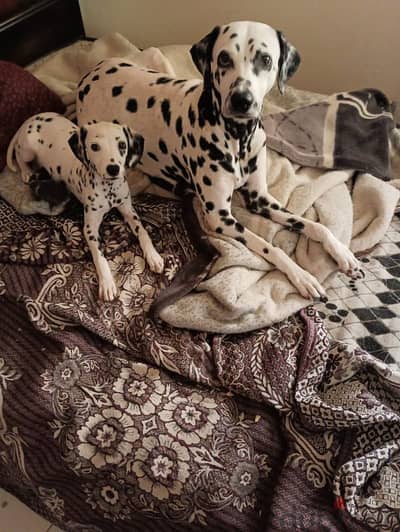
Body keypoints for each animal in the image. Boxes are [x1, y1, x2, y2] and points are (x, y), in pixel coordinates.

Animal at [6, 112, 163, 302]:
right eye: (94, 146)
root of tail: (31, 120)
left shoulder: (128, 211)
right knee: (20, 156)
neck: (109, 189)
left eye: (122, 145)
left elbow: (143, 232)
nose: (113, 168)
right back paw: (26, 172)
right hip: (27, 151)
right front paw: (107, 283)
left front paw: (153, 256)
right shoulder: (90, 229)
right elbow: (99, 256)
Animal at [75, 20, 360, 300]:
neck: (238, 137)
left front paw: (341, 251)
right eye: (223, 58)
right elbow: (270, 247)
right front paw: (301, 275)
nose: (242, 100)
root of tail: (88, 75)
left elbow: (313, 225)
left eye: (266, 59)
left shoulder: (261, 199)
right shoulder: (221, 218)